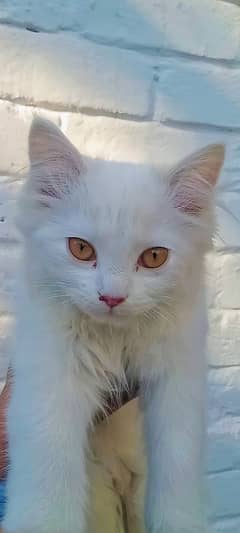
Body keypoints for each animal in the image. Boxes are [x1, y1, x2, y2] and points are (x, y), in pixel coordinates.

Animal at [3, 118, 224, 528]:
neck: (113, 338)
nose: (112, 297)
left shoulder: (178, 378)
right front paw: (41, 521)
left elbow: (178, 463)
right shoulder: (49, 374)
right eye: (80, 249)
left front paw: (179, 523)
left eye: (154, 257)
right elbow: (49, 466)